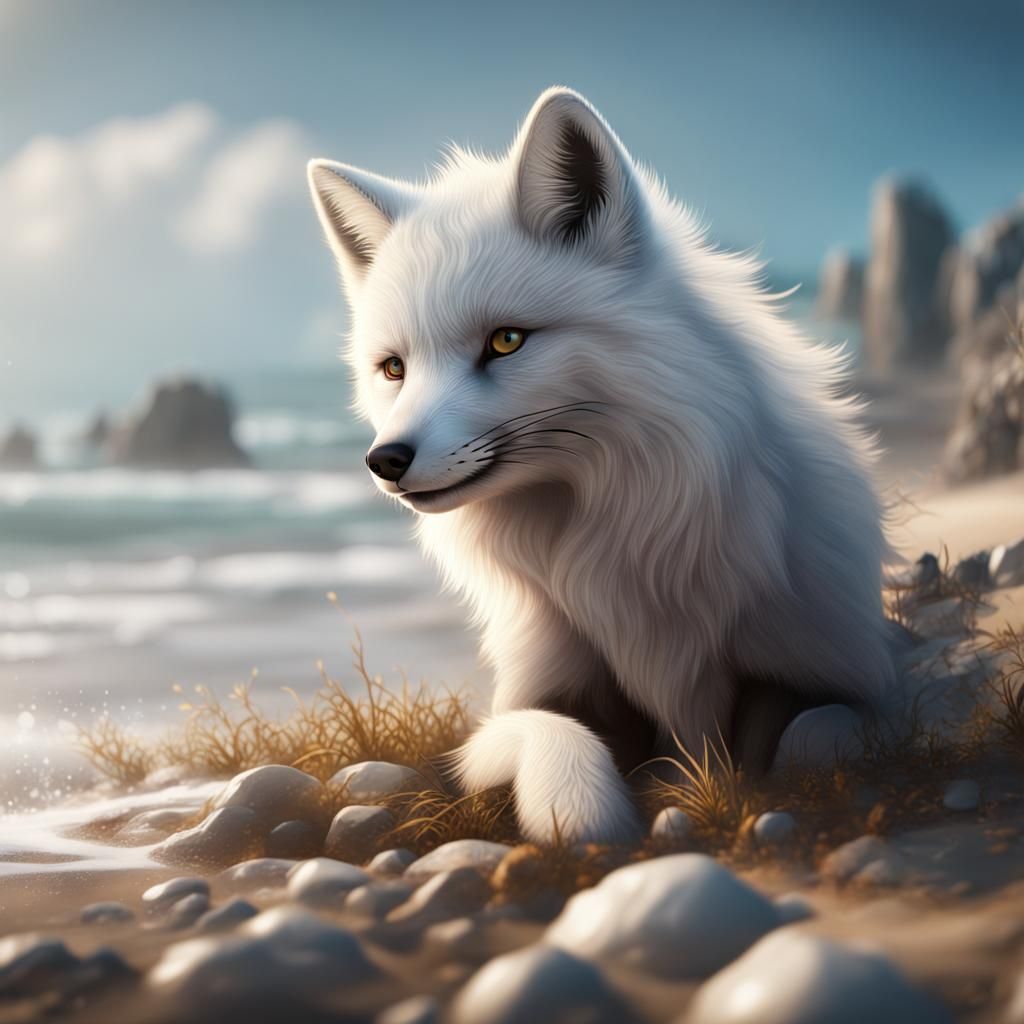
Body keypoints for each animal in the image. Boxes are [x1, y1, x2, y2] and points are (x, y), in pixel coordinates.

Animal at [307, 87, 897, 844]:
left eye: (506, 341)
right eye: (393, 369)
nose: (385, 461)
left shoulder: (839, 671)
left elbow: (814, 728)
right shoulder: (531, 693)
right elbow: (547, 732)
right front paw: (582, 810)